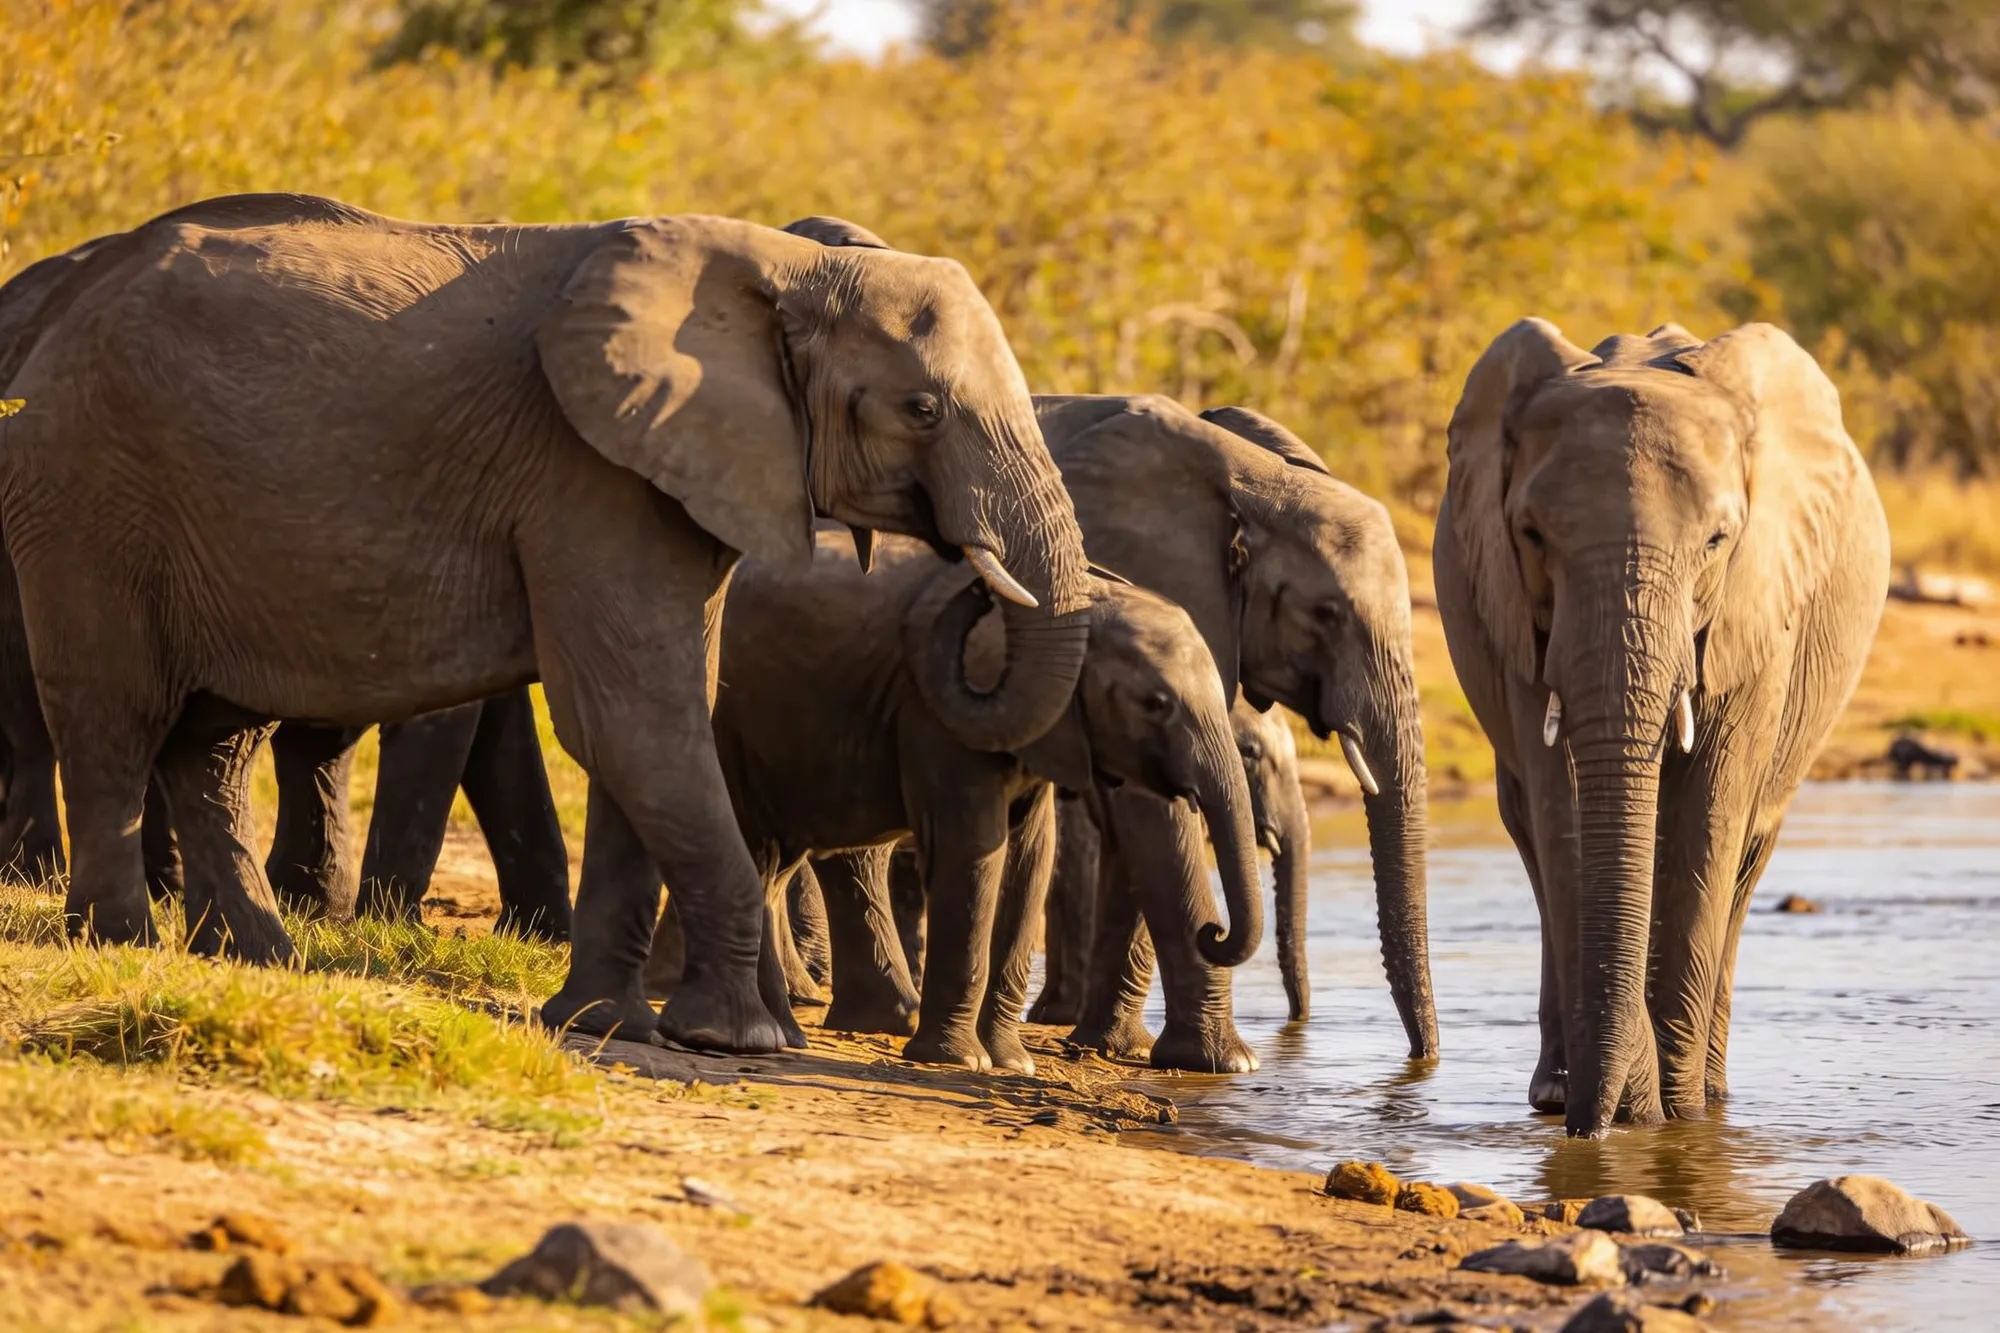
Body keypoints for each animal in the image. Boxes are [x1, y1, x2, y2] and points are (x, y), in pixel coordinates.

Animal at [0, 191, 1091, 1055]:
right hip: (88, 484)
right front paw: (739, 1040)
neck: (778, 266)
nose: (971, 573)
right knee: (114, 714)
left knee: (214, 741)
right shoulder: (589, 470)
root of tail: (61, 303)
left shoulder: (665, 475)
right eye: (922, 409)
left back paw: (260, 956)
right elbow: (632, 719)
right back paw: (121, 939)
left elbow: (646, 723)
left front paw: (604, 1022)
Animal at [1433, 319, 1889, 1137]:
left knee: (1745, 852)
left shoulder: (1761, 603)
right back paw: (1560, 1093)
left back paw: (1707, 1092)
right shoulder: (1514, 607)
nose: (1593, 1128)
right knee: (1532, 837)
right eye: (1531, 534)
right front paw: (1626, 1105)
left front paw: (1676, 1113)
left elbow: (1708, 811)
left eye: (1717, 540)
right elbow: (1563, 807)